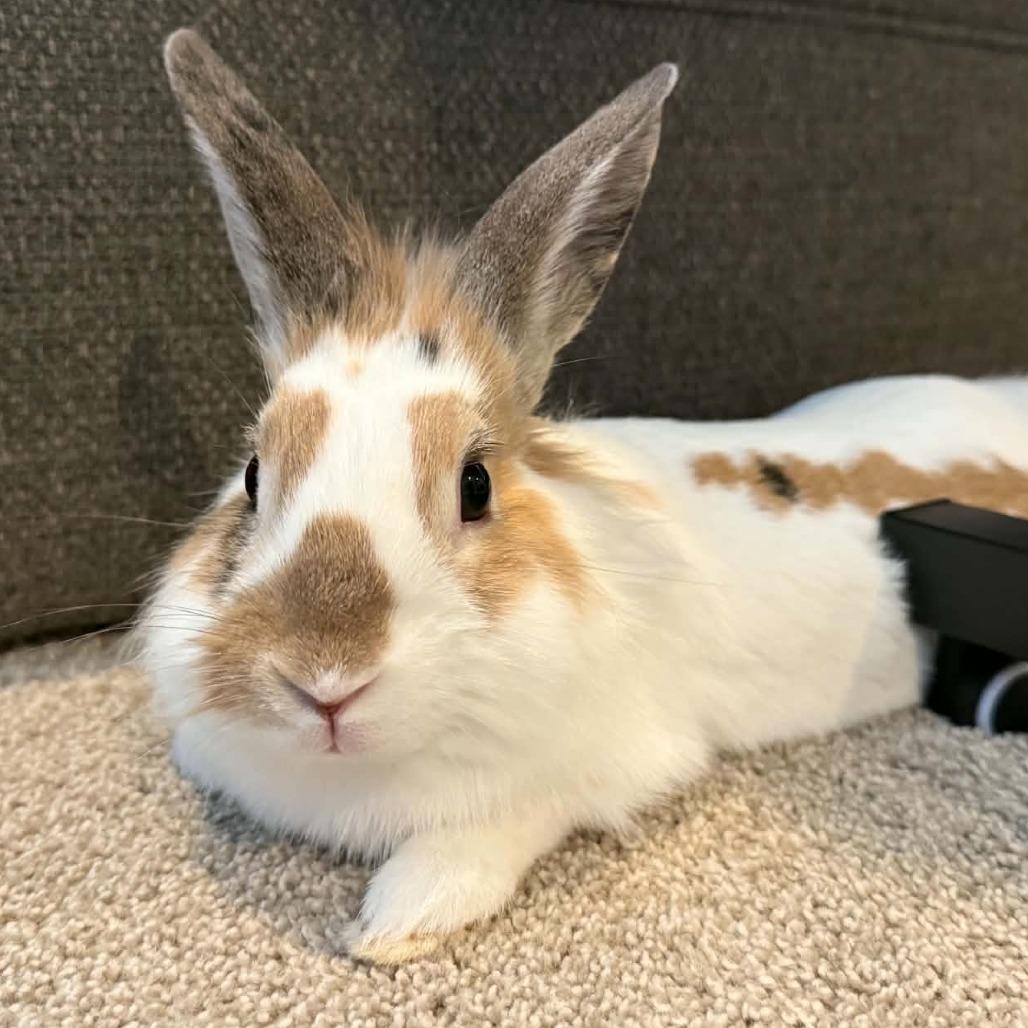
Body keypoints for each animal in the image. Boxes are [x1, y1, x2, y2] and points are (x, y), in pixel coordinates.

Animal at [142, 29, 1028, 964]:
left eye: (475, 485)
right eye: (252, 475)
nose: (325, 681)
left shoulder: (599, 766)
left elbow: (503, 825)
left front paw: (397, 921)